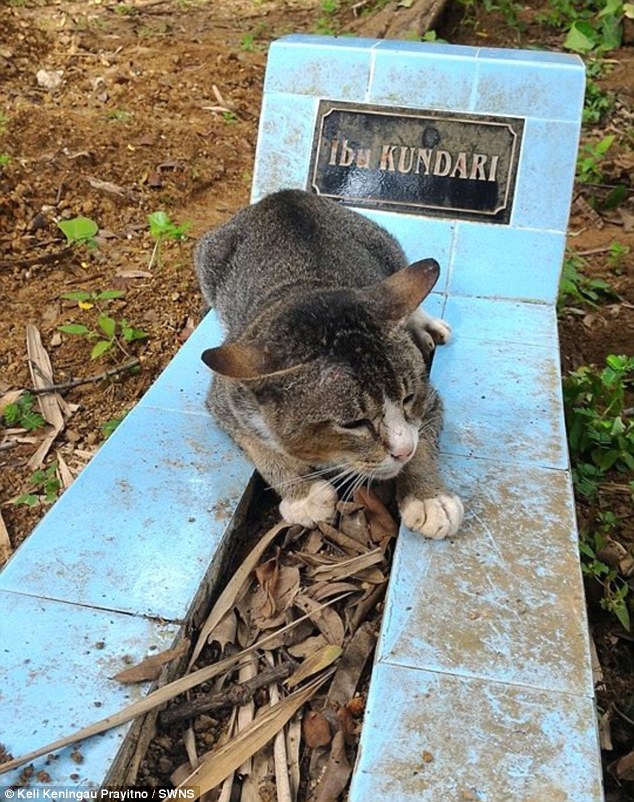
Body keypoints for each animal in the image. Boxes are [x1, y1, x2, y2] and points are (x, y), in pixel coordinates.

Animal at [195, 188, 462, 536]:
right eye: (353, 424)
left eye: (408, 398)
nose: (403, 450)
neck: (306, 290)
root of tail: (282, 195)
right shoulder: (227, 398)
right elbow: (259, 447)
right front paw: (303, 494)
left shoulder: (429, 398)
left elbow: (424, 436)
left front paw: (428, 497)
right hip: (207, 259)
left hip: (385, 244)